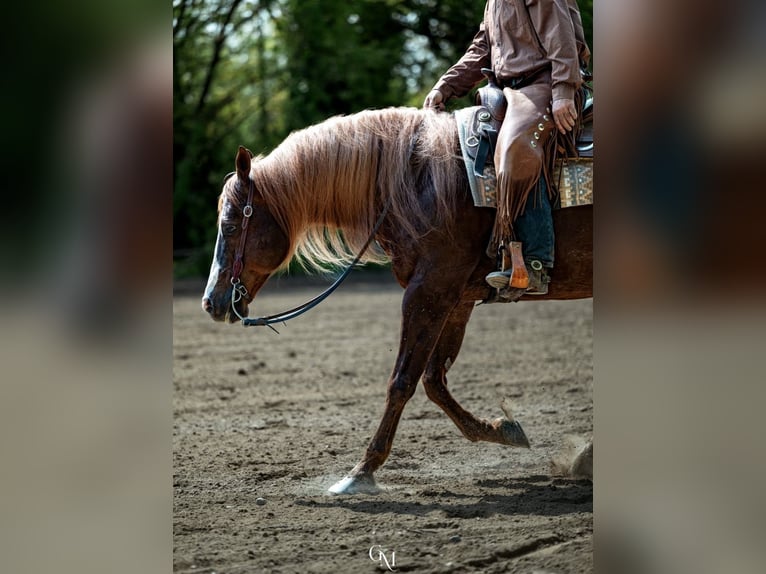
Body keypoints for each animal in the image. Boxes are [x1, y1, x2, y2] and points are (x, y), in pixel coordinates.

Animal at [201, 107, 592, 494]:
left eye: (231, 226)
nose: (210, 302)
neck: (418, 184)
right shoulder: (455, 297)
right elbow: (434, 380)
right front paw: (502, 429)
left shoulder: (428, 290)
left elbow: (402, 381)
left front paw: (360, 472)